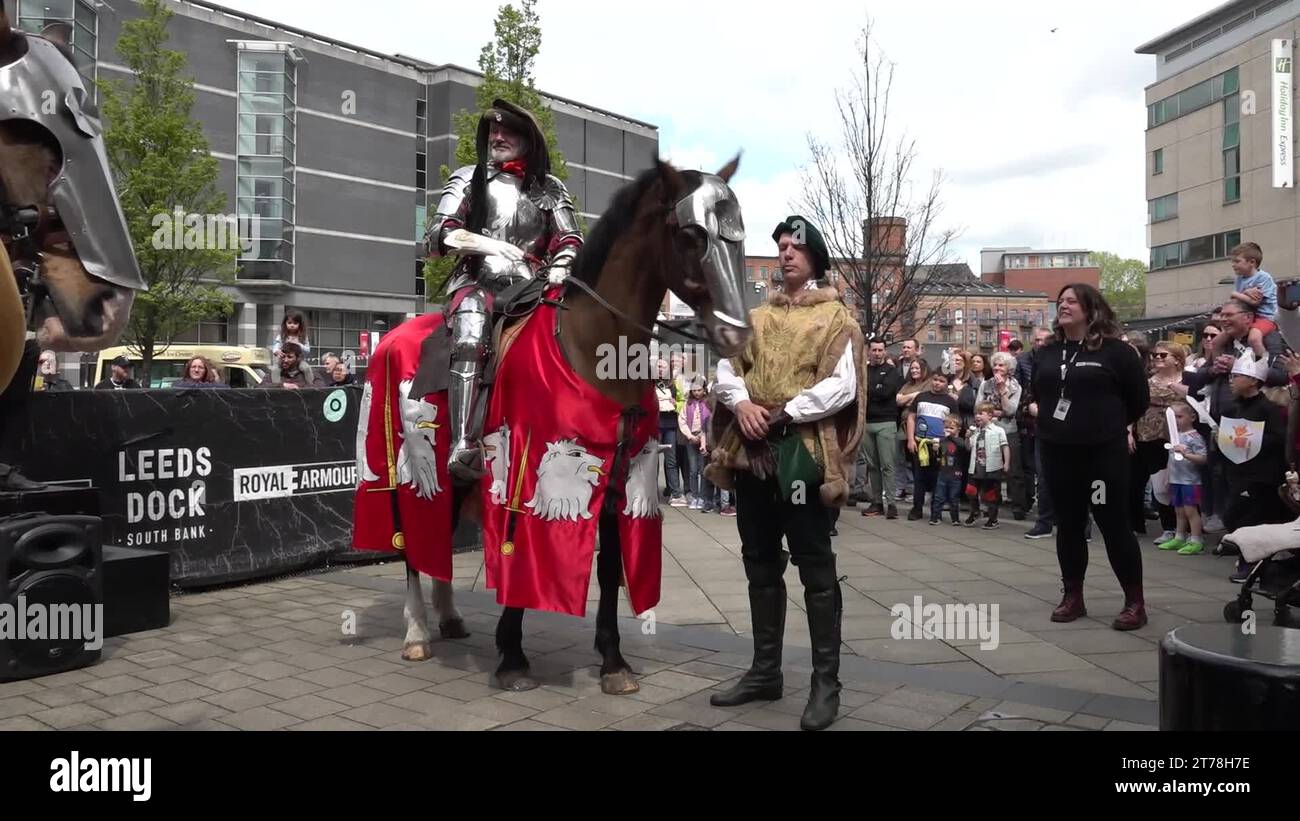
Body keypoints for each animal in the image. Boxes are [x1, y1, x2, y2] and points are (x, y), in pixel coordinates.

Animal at [371, 155, 748, 691]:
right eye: (693, 235)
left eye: (739, 235)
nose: (736, 334)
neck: (587, 345)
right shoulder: (522, 470)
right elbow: (517, 553)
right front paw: (511, 656)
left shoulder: (617, 478)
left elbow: (609, 568)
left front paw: (613, 662)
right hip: (409, 462)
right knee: (412, 544)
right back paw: (418, 632)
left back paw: (449, 618)